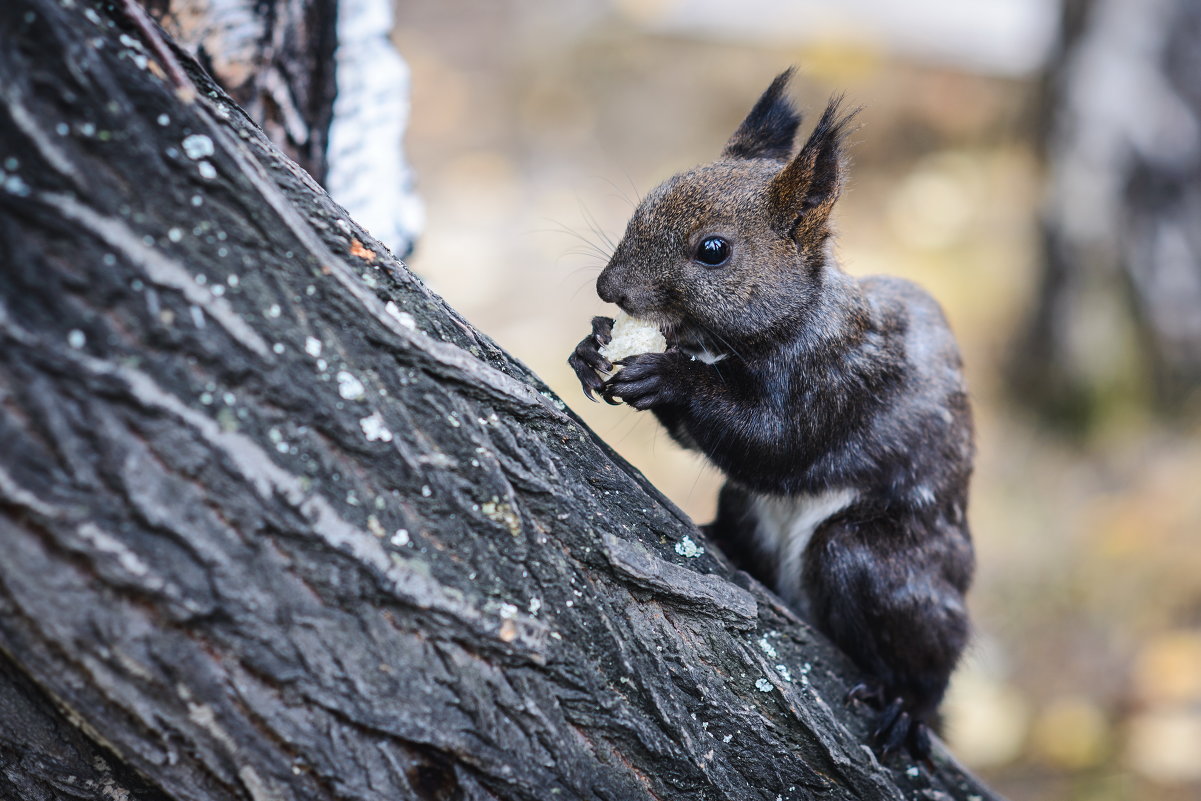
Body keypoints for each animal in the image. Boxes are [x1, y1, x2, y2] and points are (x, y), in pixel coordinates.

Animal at [566, 69, 970, 758]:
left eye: (713, 250)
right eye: (644, 205)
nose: (607, 289)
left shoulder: (844, 380)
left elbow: (773, 445)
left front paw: (671, 378)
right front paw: (590, 349)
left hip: (882, 562)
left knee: (934, 657)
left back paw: (909, 706)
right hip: (746, 509)